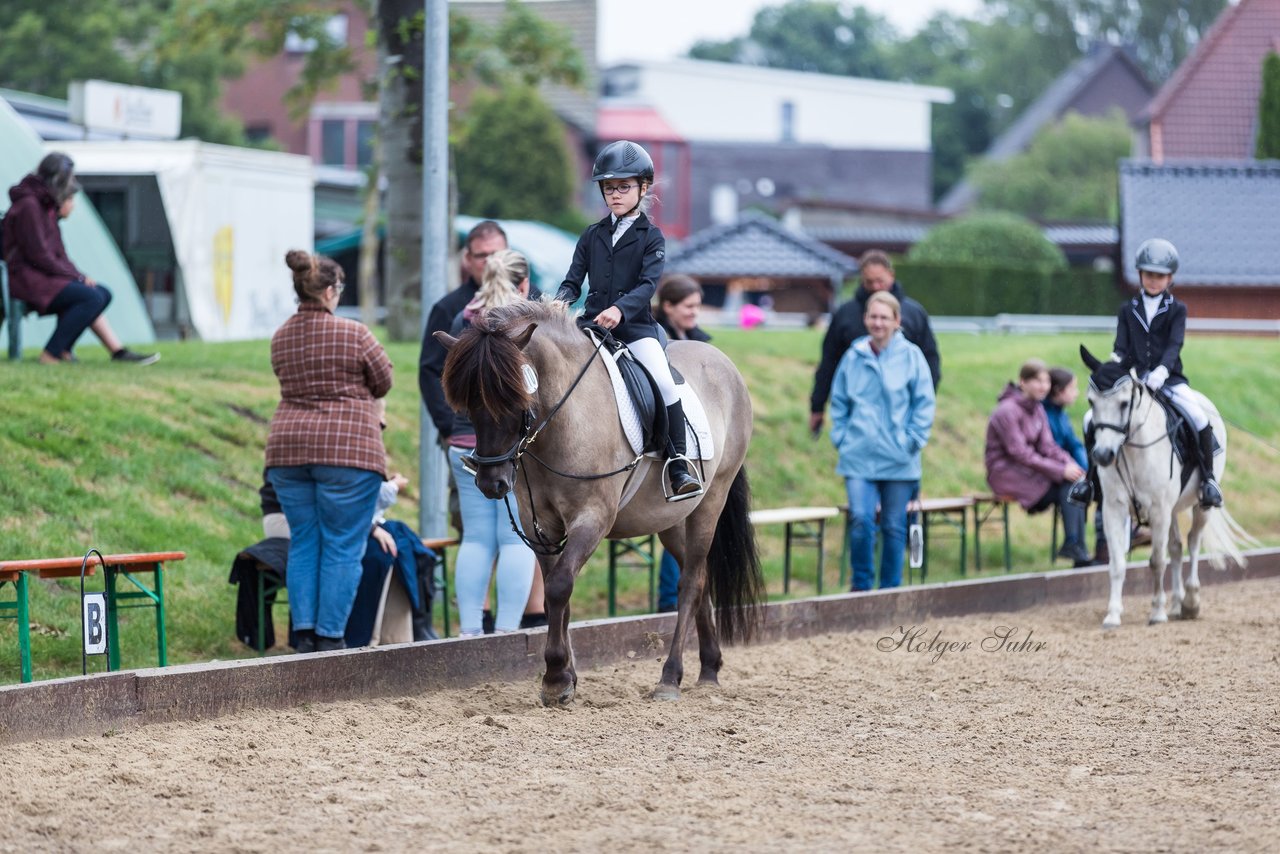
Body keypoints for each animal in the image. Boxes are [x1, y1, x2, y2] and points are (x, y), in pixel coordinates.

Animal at [440, 303, 757, 706]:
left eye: (515, 399)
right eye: (467, 405)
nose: (491, 483)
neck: (562, 421)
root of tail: (723, 362)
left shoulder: (592, 519)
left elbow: (560, 586)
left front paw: (555, 678)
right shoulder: (540, 527)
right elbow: (557, 595)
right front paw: (566, 677)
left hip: (709, 503)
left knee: (691, 582)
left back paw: (670, 678)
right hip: (671, 520)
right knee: (698, 580)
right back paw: (709, 668)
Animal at [1080, 343, 1249, 632]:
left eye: (1124, 403)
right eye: (1092, 402)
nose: (1102, 455)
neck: (1132, 448)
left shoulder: (1158, 510)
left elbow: (1156, 561)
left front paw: (1157, 613)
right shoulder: (1115, 508)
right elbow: (1117, 563)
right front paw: (1113, 615)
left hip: (1199, 506)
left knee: (1193, 543)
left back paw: (1191, 602)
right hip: (1171, 510)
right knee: (1177, 547)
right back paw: (1177, 605)